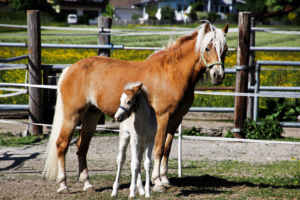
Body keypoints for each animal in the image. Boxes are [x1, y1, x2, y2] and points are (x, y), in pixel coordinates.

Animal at [43, 21, 229, 194]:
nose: (218, 76)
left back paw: (87, 184)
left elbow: (167, 149)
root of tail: (70, 68)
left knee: (82, 146)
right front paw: (158, 183)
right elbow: (159, 148)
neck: (173, 72)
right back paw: (63, 185)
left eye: (225, 49)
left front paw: (165, 179)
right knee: (62, 144)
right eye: (207, 48)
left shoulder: (176, 119)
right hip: (72, 115)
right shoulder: (163, 117)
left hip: (91, 116)